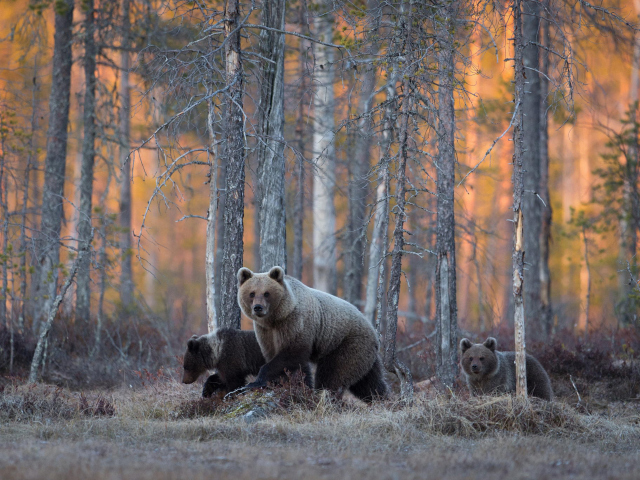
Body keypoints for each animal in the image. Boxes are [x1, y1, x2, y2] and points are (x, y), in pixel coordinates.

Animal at [235, 266, 384, 402]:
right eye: (252, 293)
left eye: (266, 293)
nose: (258, 307)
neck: (276, 318)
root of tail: (372, 329)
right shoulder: (266, 332)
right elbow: (283, 359)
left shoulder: (295, 323)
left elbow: (291, 354)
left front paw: (255, 382)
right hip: (364, 354)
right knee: (368, 382)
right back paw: (382, 399)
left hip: (347, 343)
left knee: (334, 374)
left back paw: (325, 396)